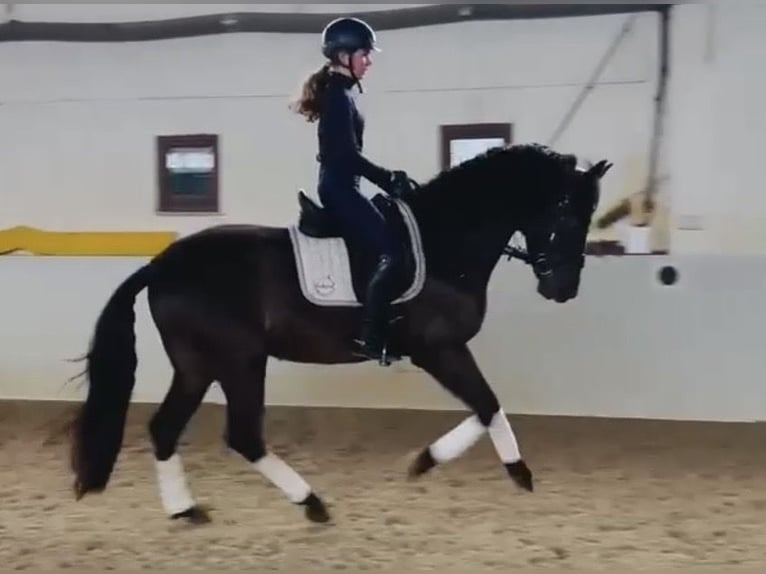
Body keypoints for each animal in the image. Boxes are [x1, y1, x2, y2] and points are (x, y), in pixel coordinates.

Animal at [68, 142, 612, 524]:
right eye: (567, 214)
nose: (563, 289)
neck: (445, 241)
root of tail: (160, 265)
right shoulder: (438, 348)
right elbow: (486, 402)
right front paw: (463, 465)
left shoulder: (444, 350)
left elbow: (487, 406)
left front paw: (452, 464)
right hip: (239, 360)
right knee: (243, 434)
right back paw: (311, 503)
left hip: (197, 365)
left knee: (165, 428)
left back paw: (185, 510)